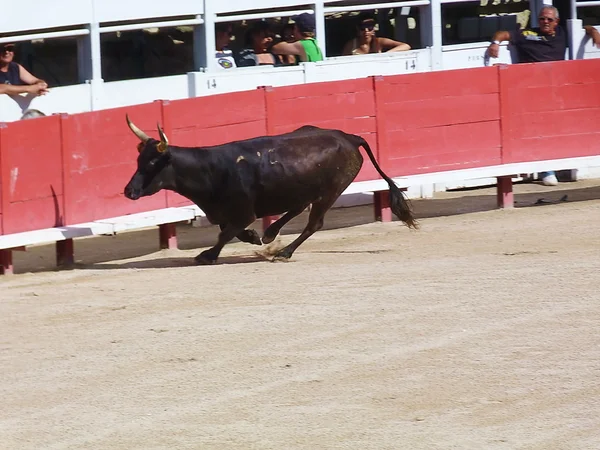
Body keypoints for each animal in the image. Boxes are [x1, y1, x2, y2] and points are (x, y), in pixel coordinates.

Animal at [123, 117, 418, 264]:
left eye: (153, 163)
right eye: (138, 160)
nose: (129, 191)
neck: (210, 169)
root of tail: (349, 137)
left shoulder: (243, 212)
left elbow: (226, 233)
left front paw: (207, 255)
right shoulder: (226, 213)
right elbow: (230, 231)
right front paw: (255, 237)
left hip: (331, 192)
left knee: (313, 223)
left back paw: (284, 252)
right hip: (307, 190)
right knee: (298, 207)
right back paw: (270, 234)